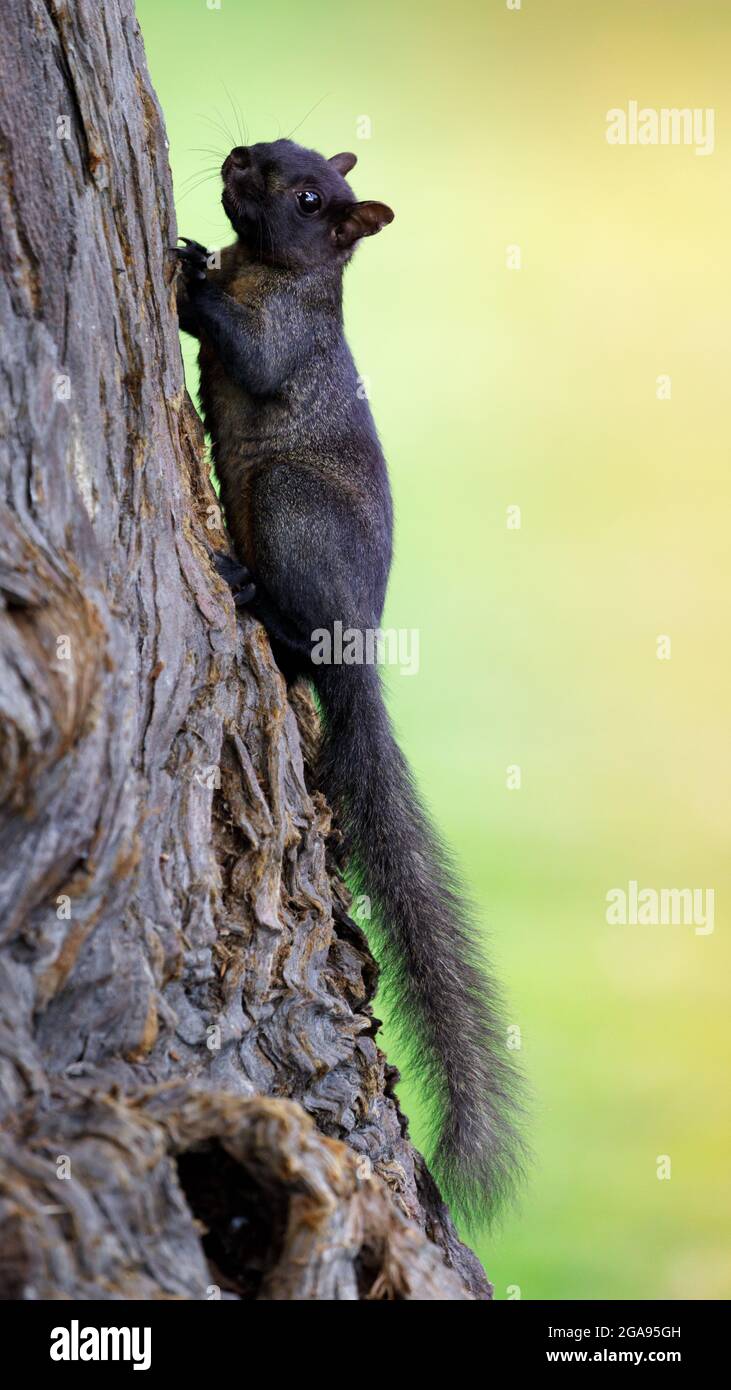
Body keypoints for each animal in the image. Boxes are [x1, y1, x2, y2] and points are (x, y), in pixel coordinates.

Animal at [175, 138, 525, 1228]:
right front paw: (197, 252)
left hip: (287, 504)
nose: (237, 156)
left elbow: (249, 355)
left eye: (303, 195)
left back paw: (260, 601)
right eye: (275, 149)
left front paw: (187, 276)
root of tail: (358, 653)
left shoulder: (286, 343)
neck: (276, 272)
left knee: (297, 639)